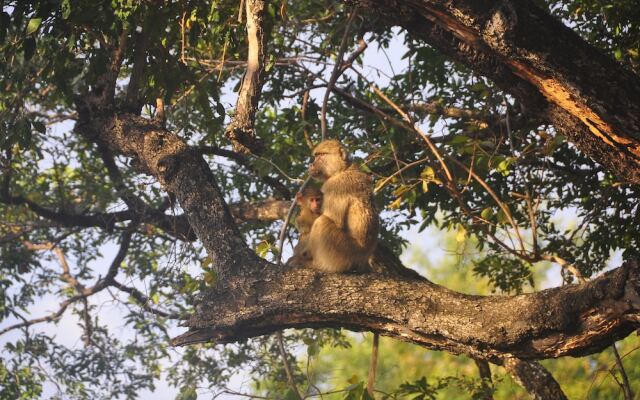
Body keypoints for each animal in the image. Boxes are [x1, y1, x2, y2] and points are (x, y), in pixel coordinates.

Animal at [306, 139, 378, 274]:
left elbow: (335, 221)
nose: (312, 165)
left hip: (342, 253)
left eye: (321, 155)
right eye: (316, 156)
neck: (343, 169)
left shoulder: (334, 186)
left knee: (321, 222)